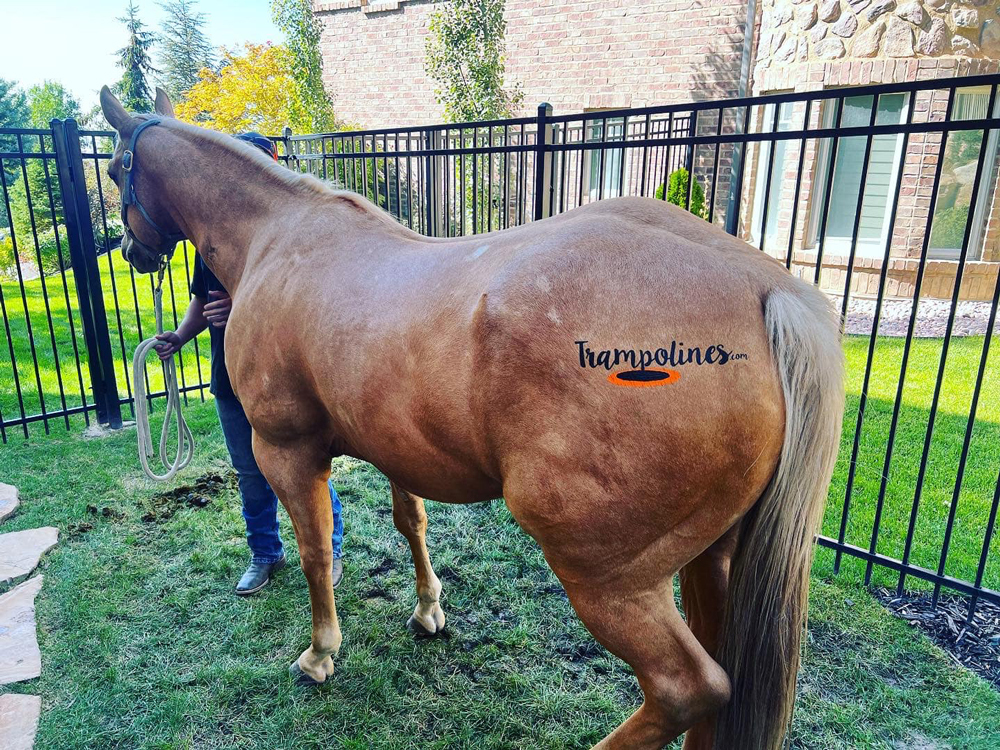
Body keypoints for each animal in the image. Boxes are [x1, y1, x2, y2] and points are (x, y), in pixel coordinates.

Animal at [100, 86, 844, 750]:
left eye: (113, 168)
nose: (131, 250)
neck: (279, 239)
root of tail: (766, 290)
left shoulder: (286, 450)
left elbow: (315, 552)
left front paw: (321, 653)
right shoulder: (394, 444)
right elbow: (411, 523)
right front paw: (428, 609)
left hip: (609, 579)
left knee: (688, 689)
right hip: (712, 560)